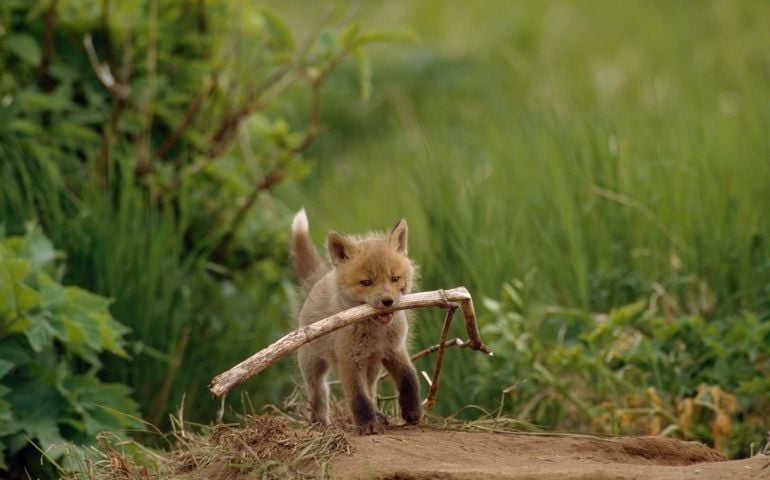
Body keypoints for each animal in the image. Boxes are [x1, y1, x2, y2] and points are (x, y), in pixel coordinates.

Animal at [290, 209, 421, 435]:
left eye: (395, 278)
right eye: (366, 282)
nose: (388, 301)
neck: (377, 333)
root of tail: (321, 278)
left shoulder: (394, 350)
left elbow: (409, 379)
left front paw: (412, 412)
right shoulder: (349, 361)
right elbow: (359, 397)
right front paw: (367, 424)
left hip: (372, 367)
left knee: (371, 389)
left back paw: (379, 416)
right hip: (312, 365)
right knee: (319, 393)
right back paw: (319, 423)